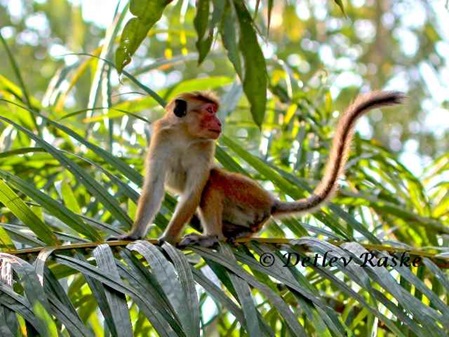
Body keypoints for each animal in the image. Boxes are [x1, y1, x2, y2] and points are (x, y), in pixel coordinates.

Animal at [111, 90, 402, 247]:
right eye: (209, 110)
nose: (219, 122)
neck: (185, 136)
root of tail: (271, 201)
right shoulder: (162, 137)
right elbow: (154, 188)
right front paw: (134, 234)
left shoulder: (205, 148)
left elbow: (194, 191)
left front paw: (168, 239)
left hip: (250, 199)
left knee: (214, 180)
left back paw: (212, 237)